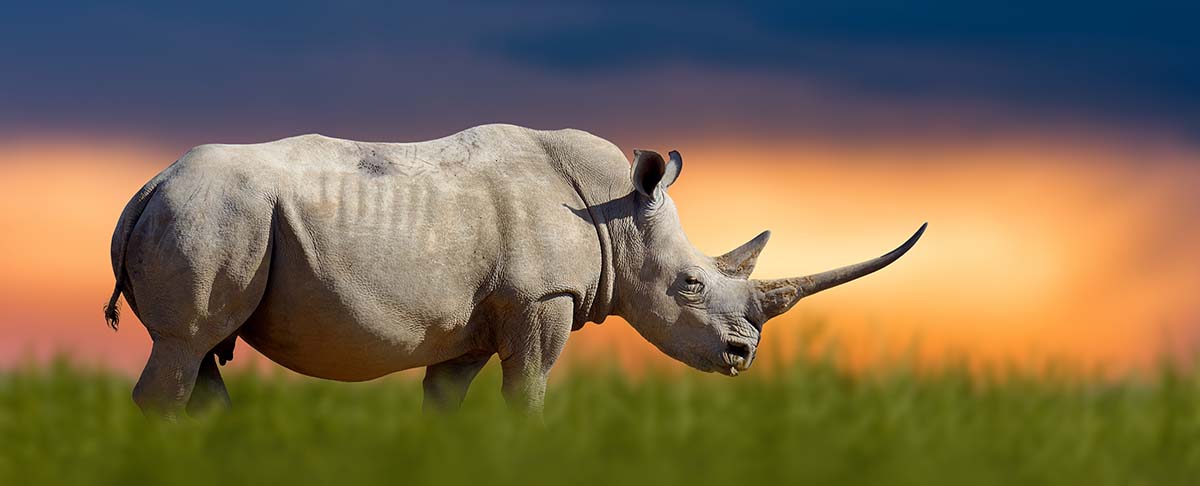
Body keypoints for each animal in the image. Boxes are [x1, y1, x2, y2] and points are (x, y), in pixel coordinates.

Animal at [103, 124, 924, 418]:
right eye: (689, 285)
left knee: (203, 355)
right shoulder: (540, 296)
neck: (619, 215)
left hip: (215, 216)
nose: (743, 354)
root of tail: (143, 188)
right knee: (184, 346)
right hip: (211, 213)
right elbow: (528, 388)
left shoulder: (472, 318)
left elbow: (445, 400)